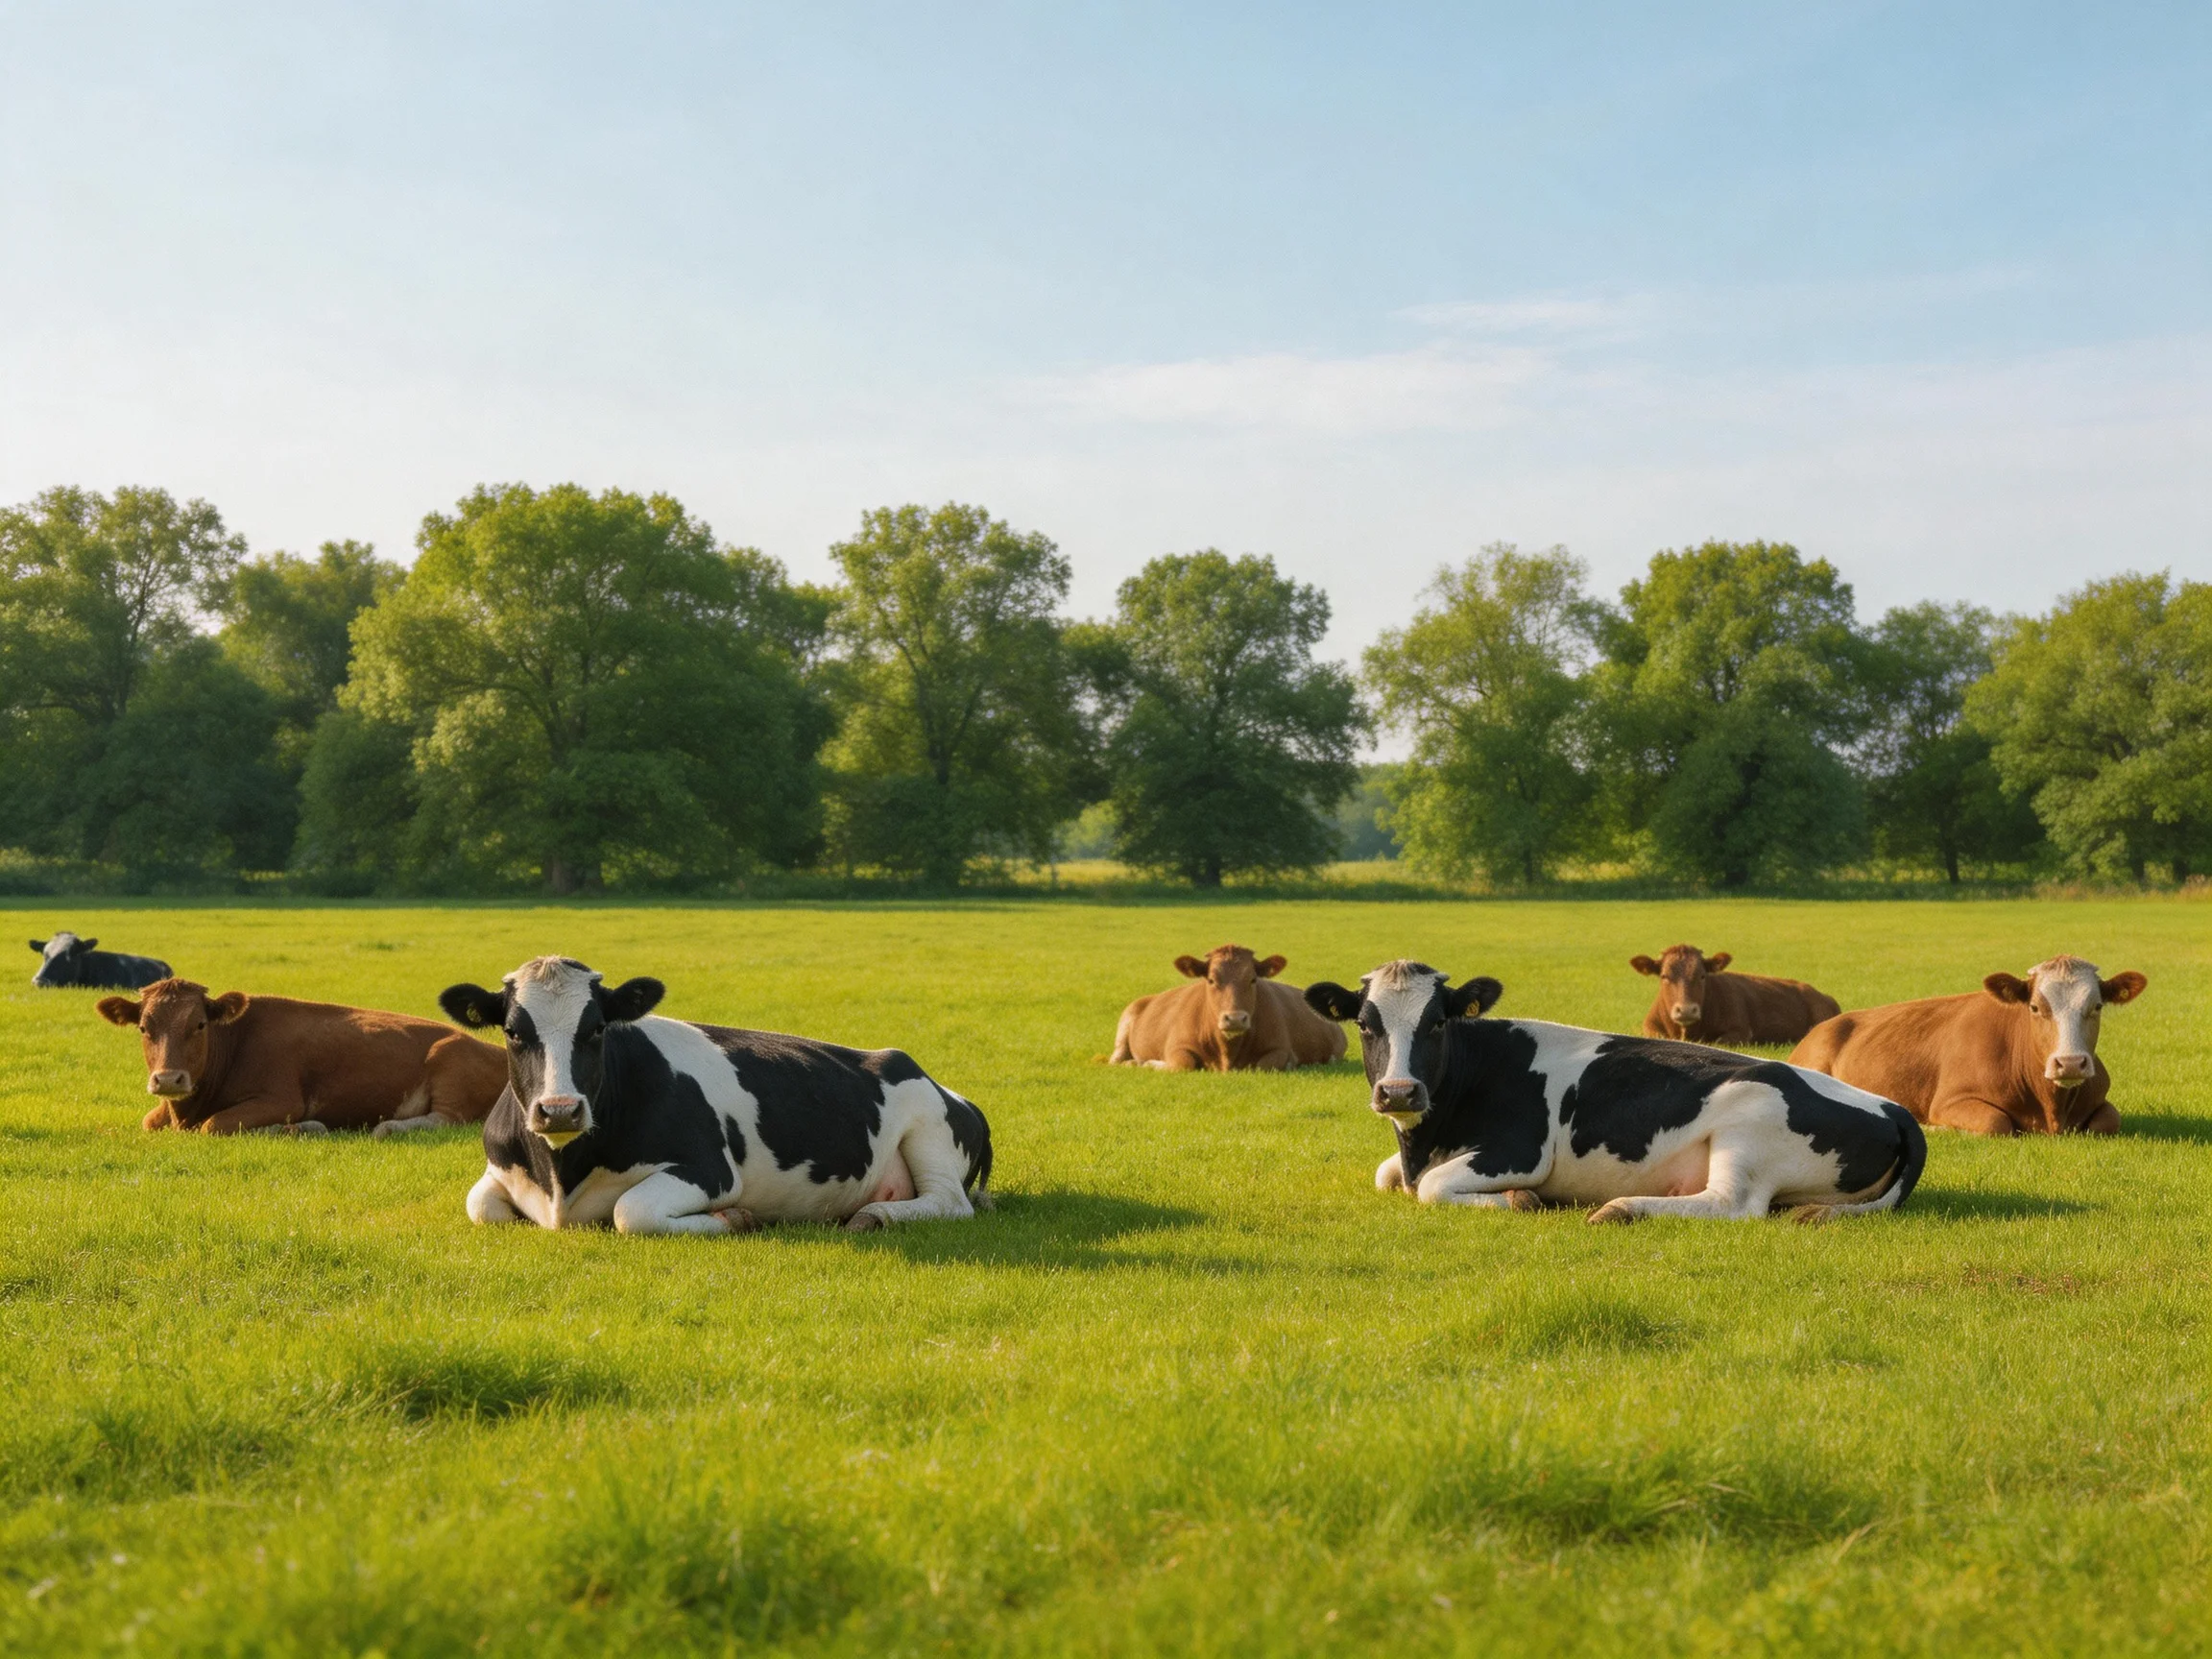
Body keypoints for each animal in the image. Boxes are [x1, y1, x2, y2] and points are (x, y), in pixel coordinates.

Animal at [96, 978, 507, 1136]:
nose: (169, 1079)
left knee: (446, 1120)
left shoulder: (282, 1099)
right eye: (143, 1028)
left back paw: (387, 1127)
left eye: (199, 1024)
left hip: (450, 1058)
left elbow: (215, 1124)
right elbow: (149, 1121)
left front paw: (304, 1128)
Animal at [438, 956, 993, 1235]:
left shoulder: (709, 1169)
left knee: (948, 1202)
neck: (560, 1176)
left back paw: (873, 1215)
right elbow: (479, 1206)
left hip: (928, 1127)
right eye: (512, 1031)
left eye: (597, 1028)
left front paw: (735, 1218)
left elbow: (630, 1212)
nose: (559, 1110)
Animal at [1108, 944, 1348, 1072]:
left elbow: (1265, 1064)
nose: (1234, 1019)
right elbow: (1183, 1063)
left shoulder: (1280, 1048)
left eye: (1253, 979)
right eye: (1211, 980)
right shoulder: (1176, 1046)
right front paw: (1148, 1063)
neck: (1227, 1053)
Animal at [1304, 960, 1925, 1224]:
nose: (1399, 1092)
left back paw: (1622, 1208)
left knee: (1734, 1205)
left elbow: (1432, 1188)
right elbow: (1387, 1175)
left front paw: (1521, 1200)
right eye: (1364, 1024)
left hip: (1749, 1121)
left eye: (1436, 1023)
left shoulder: (1520, 1151)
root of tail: (1892, 1108)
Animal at [1790, 955, 2147, 1136]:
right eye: (2035, 1007)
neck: (2050, 1109)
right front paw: (1936, 1129)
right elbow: (1995, 1123)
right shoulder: (1950, 1101)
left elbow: (2108, 1120)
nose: (2070, 1062)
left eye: (2096, 1006)